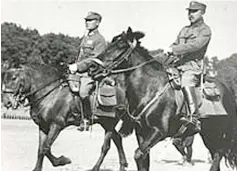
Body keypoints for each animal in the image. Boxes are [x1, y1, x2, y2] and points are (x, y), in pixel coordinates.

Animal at [93, 27, 237, 170]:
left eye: (120, 45)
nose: (92, 67)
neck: (150, 88)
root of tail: (228, 91)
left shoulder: (158, 131)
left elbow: (138, 154)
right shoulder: (142, 132)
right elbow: (143, 160)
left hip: (218, 132)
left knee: (218, 153)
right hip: (208, 133)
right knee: (215, 154)